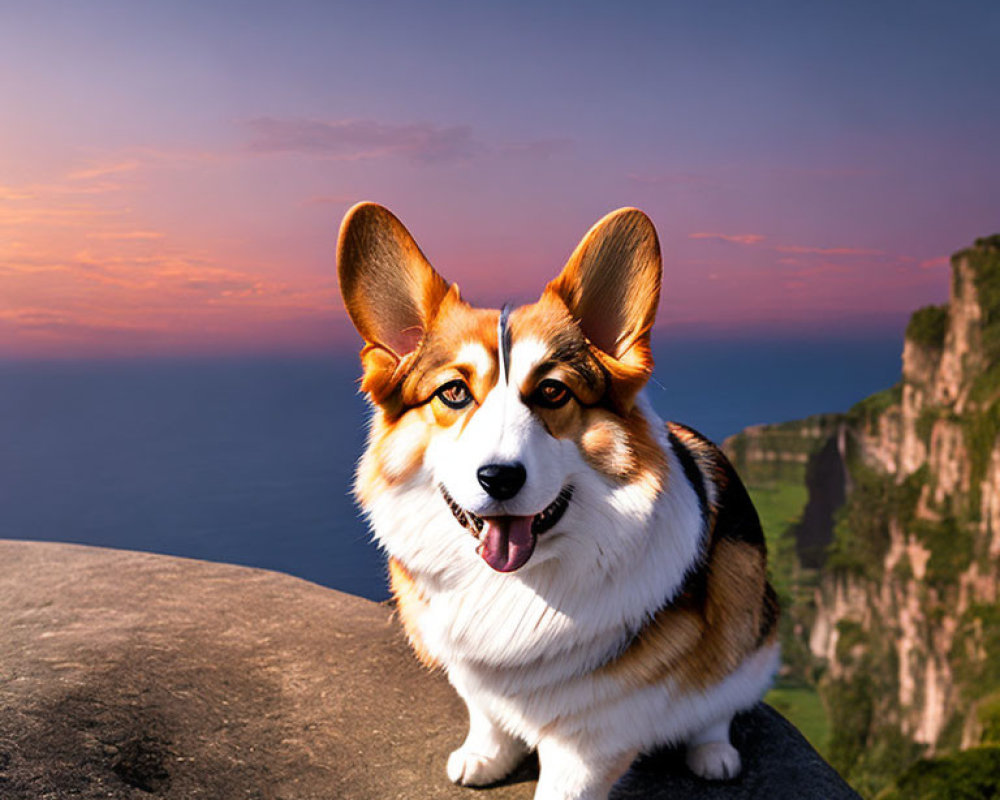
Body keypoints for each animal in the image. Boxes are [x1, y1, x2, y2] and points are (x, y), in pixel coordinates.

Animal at [336, 203, 780, 796]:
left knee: (717, 702)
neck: (517, 585)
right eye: (453, 392)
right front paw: (483, 757)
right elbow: (486, 714)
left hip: (747, 609)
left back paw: (713, 753)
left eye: (552, 391)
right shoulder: (475, 680)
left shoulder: (591, 739)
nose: (499, 478)